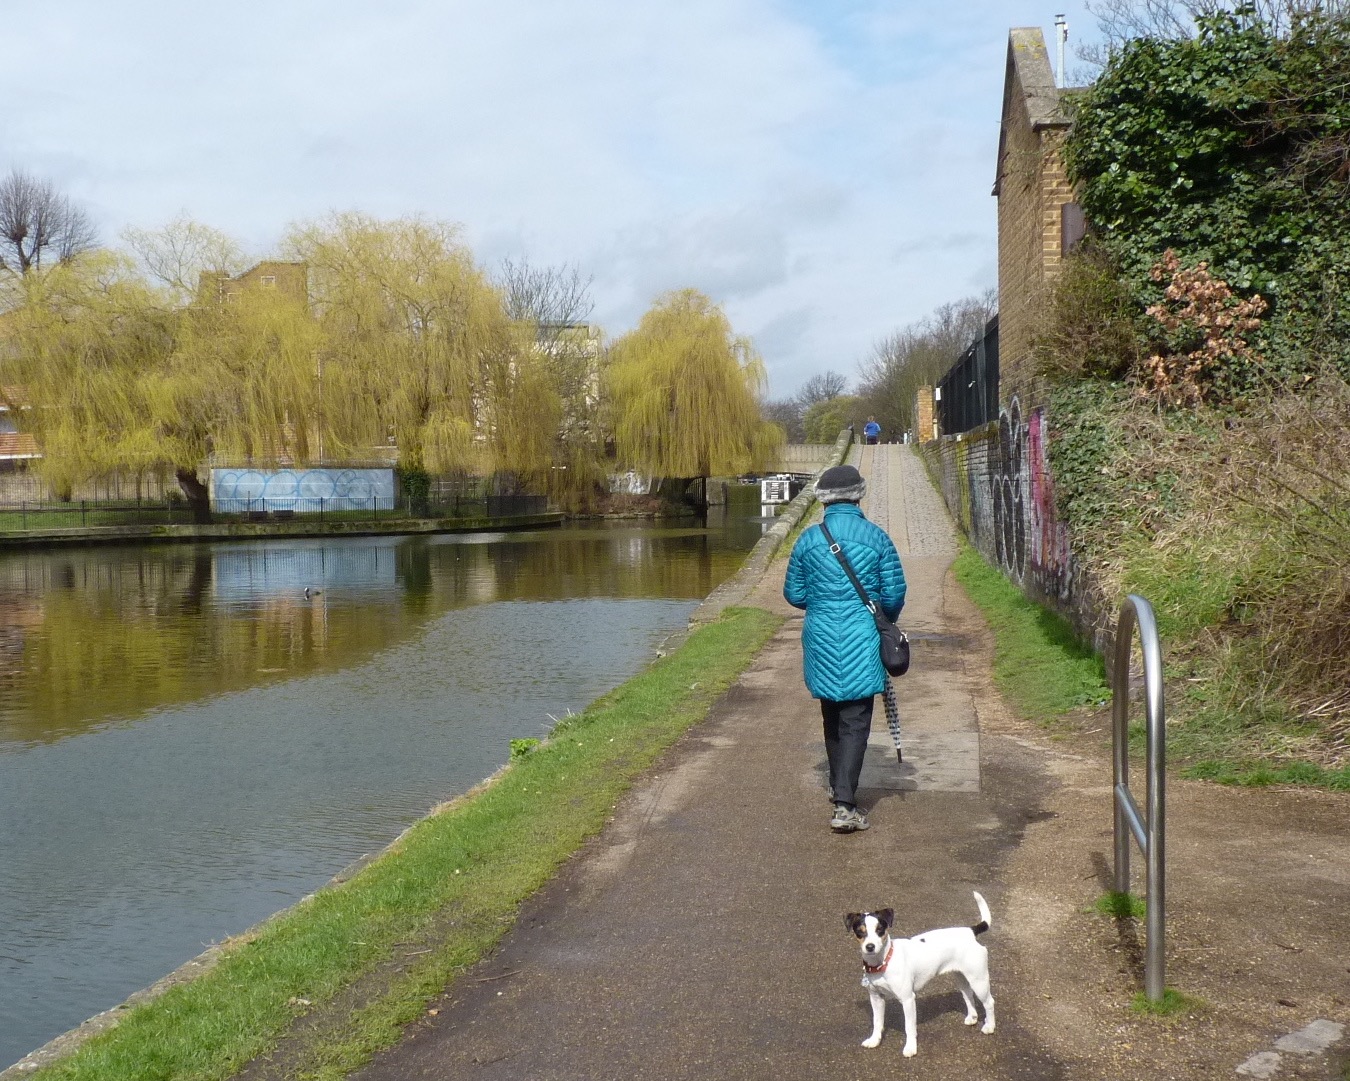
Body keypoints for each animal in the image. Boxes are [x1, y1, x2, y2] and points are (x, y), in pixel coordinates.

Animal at [842, 890, 993, 1058]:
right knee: (968, 995)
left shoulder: (908, 999)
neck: (884, 962)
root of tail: (970, 931)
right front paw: (875, 1040)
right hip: (961, 977)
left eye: (879, 930)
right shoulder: (876, 998)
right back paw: (972, 1018)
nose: (870, 947)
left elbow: (909, 1027)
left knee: (989, 1002)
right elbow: (877, 1022)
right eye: (860, 932)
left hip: (979, 980)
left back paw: (989, 1026)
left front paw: (910, 1048)